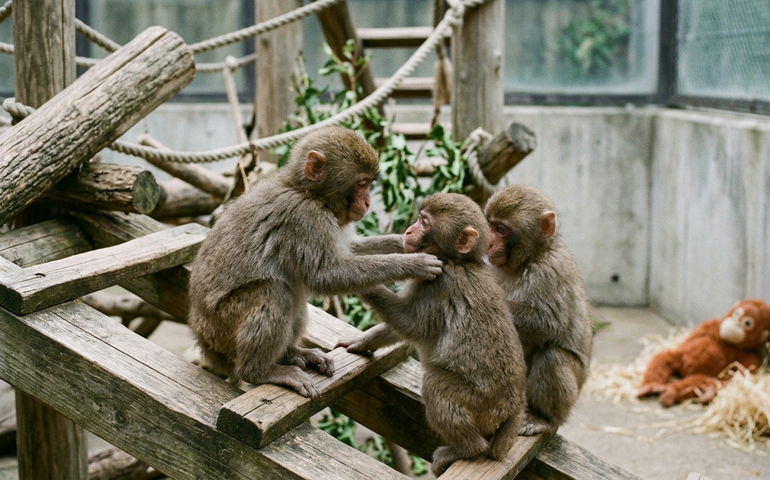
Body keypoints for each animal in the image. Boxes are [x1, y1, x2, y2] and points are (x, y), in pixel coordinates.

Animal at [187, 126, 444, 399]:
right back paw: (260, 371)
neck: (309, 193)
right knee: (274, 292)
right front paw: (414, 262)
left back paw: (292, 354)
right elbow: (325, 276)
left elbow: (349, 250)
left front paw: (402, 243)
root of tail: (202, 338)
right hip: (222, 328)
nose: (367, 202)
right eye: (361, 184)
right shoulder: (305, 218)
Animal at [337, 193, 527, 476]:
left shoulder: (439, 283)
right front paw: (362, 341)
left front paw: (364, 283)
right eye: (419, 218)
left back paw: (467, 448)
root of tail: (514, 407)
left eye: (425, 224)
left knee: (437, 383)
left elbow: (412, 325)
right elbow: (403, 329)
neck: (456, 260)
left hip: (483, 407)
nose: (409, 230)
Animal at [485, 184, 593, 436]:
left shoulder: (550, 270)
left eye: (501, 230)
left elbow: (549, 325)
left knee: (552, 357)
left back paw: (545, 418)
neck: (530, 257)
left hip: (571, 395)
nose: (488, 243)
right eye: (490, 226)